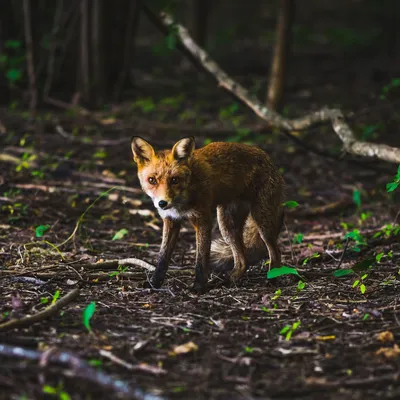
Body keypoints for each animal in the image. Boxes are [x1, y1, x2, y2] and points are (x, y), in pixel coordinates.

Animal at [131, 136, 284, 292]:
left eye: (174, 180)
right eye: (152, 180)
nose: (162, 203)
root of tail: (268, 159)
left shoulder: (202, 220)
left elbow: (201, 259)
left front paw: (198, 286)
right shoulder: (171, 221)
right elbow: (162, 258)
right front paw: (154, 283)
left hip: (262, 222)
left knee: (276, 252)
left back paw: (272, 280)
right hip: (227, 226)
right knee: (242, 261)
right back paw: (229, 281)